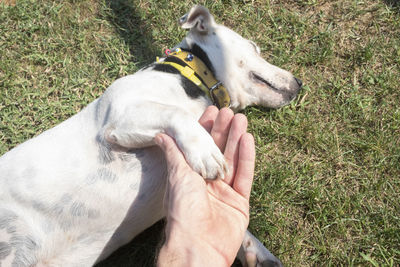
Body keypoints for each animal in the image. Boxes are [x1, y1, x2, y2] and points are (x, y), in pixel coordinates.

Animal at [0, 5, 300, 267]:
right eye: (254, 48)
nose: (299, 83)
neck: (193, 79)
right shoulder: (121, 116)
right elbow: (176, 114)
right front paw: (205, 152)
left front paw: (255, 251)